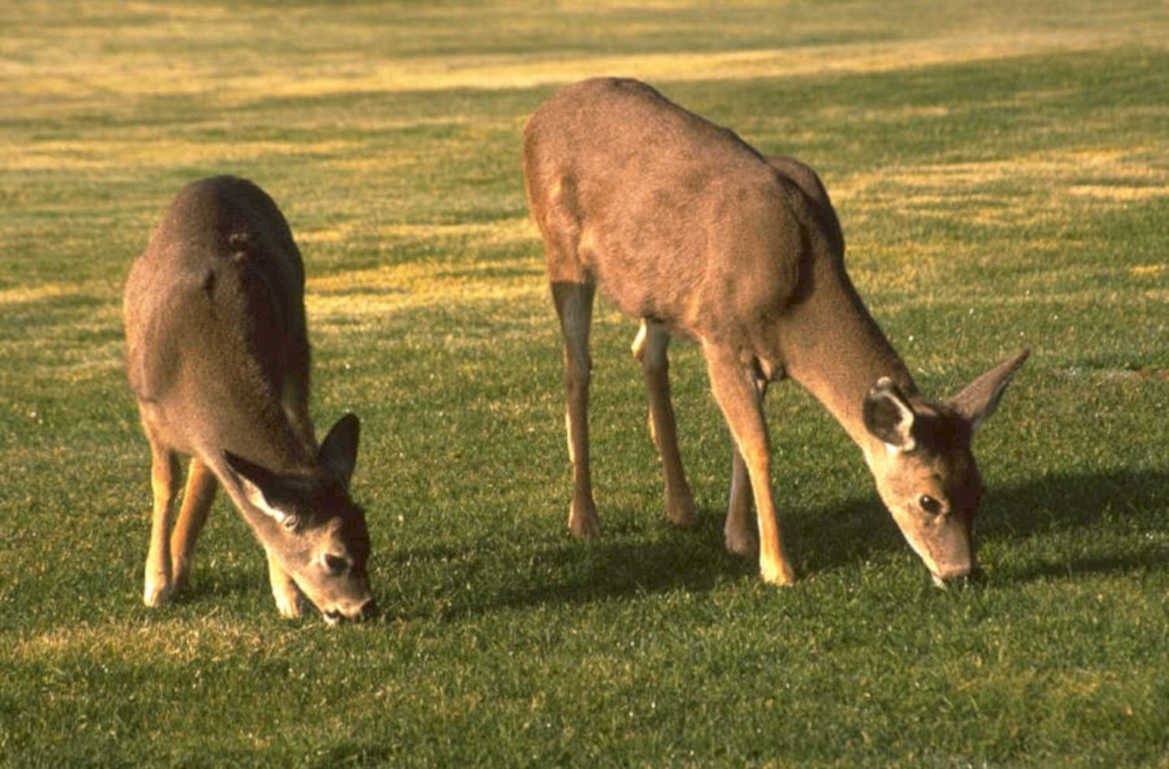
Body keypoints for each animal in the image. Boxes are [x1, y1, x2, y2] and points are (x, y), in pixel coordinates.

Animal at [123, 175, 375, 624]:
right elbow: (165, 483)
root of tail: (222, 178)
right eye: (334, 558)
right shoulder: (148, 409)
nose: (363, 608)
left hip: (297, 346)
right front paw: (155, 583)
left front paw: (287, 595)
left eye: (370, 544)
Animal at [522, 78, 1028, 587]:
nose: (962, 571)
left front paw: (740, 538)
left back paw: (681, 507)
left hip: (656, 289)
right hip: (561, 250)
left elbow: (739, 443)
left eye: (978, 488)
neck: (798, 296)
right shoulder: (722, 338)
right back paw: (584, 517)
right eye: (929, 500)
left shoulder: (755, 353)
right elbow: (758, 445)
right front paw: (777, 566)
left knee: (645, 351)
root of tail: (538, 114)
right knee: (577, 367)